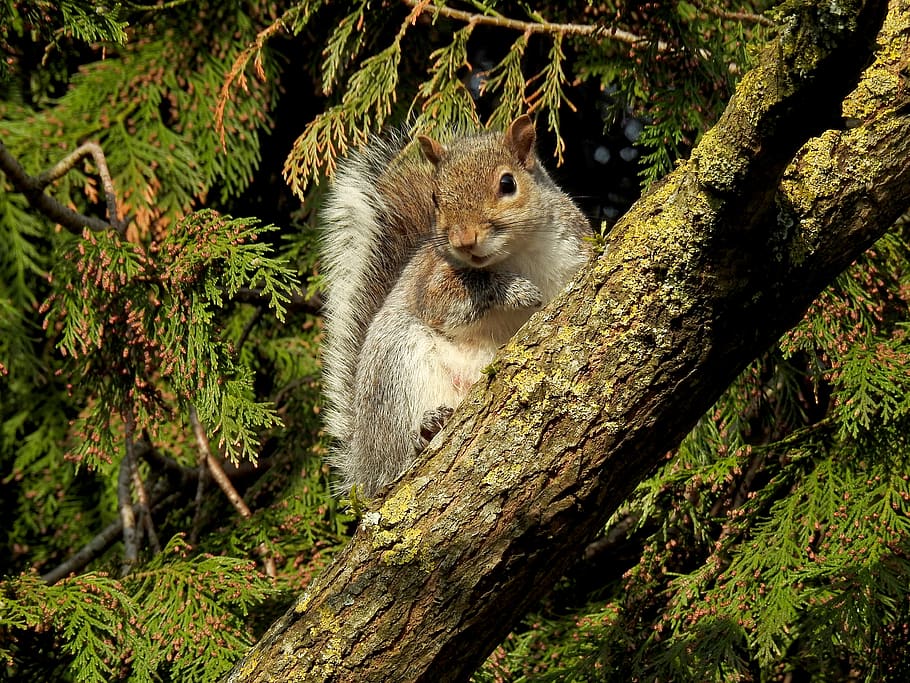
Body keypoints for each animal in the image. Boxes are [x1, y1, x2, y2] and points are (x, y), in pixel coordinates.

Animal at [319, 115, 591, 497]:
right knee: (395, 459)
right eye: (436, 197)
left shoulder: (574, 248)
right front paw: (516, 290)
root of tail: (364, 466)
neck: (516, 254)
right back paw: (424, 432)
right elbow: (455, 299)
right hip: (397, 363)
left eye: (507, 184)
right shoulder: (432, 282)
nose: (464, 240)